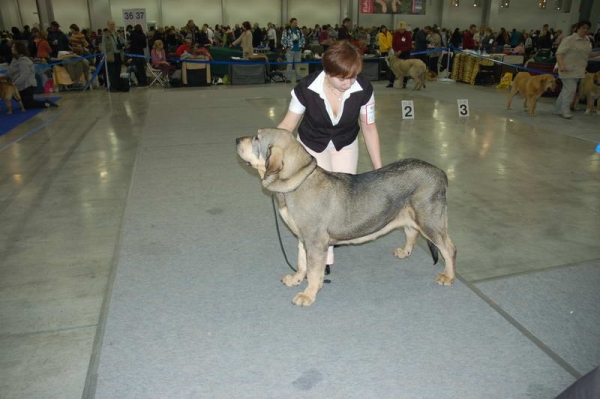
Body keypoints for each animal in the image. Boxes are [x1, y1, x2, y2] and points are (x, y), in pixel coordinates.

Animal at [237, 128, 458, 306]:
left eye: (257, 137)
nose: (237, 139)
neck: (298, 182)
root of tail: (441, 172)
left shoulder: (315, 243)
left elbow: (314, 272)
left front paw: (308, 295)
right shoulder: (302, 238)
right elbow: (301, 263)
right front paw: (296, 279)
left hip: (430, 221)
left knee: (449, 249)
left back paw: (448, 276)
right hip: (410, 216)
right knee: (412, 233)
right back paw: (404, 252)